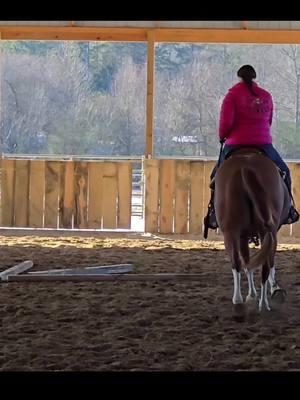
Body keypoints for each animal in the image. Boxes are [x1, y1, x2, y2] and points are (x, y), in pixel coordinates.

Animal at [214, 147, 290, 312]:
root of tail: (245, 168)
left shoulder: (243, 235)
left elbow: (248, 262)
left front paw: (252, 294)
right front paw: (270, 290)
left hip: (231, 232)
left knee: (237, 261)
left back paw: (239, 299)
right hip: (264, 230)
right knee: (264, 263)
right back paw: (262, 303)